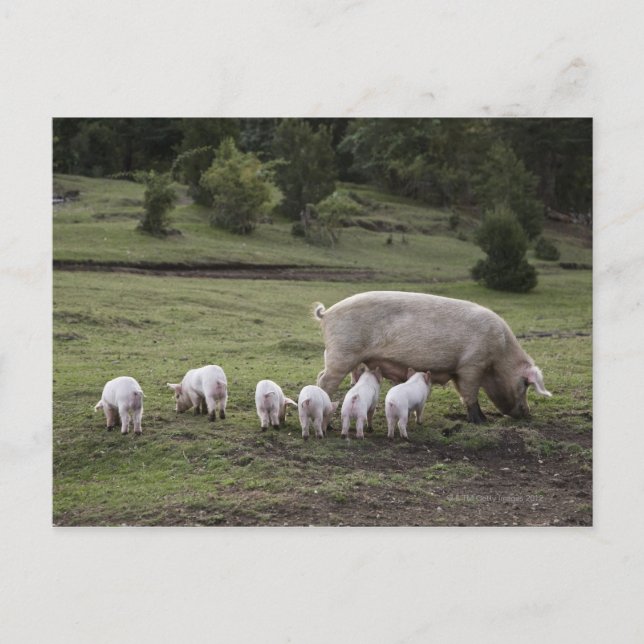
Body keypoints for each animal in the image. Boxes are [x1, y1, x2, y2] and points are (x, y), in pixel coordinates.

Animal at [313, 291, 551, 424]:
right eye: (525, 384)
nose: (528, 414)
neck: (499, 356)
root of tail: (327, 313)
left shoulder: (458, 371)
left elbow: (463, 394)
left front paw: (482, 419)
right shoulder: (471, 365)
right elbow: (470, 393)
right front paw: (481, 422)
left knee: (320, 375)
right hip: (342, 353)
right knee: (325, 380)